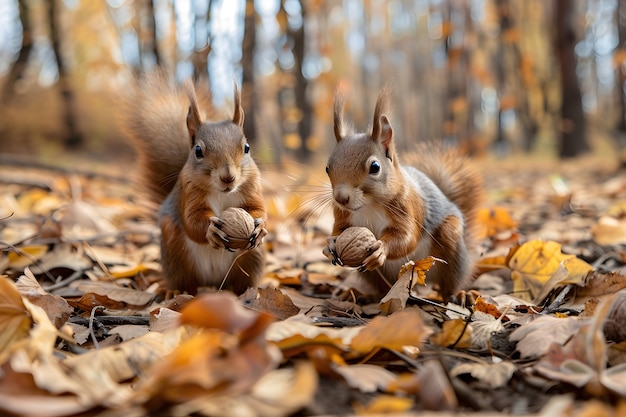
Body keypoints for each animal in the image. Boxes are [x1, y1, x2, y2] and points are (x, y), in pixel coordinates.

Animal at [122, 73, 266, 294]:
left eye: (247, 148)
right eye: (198, 151)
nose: (228, 177)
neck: (222, 192)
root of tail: (214, 282)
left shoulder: (251, 187)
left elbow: (258, 208)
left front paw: (260, 228)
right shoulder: (188, 191)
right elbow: (191, 219)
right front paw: (211, 231)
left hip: (252, 258)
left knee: (242, 280)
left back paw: (246, 292)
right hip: (175, 251)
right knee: (186, 281)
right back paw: (178, 292)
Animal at [324, 88, 480, 300]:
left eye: (375, 167)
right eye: (327, 168)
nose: (341, 198)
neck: (369, 205)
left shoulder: (406, 206)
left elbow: (406, 236)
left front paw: (381, 249)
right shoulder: (342, 214)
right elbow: (339, 230)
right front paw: (330, 243)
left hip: (451, 243)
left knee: (450, 284)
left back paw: (461, 295)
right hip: (374, 275)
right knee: (382, 288)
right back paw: (363, 295)